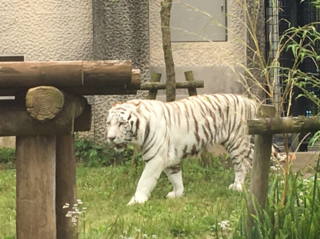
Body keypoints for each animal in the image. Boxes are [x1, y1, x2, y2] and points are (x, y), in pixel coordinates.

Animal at [106, 94, 264, 204]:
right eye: (108, 123)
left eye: (121, 123)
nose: (110, 138)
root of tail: (250, 100)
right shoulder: (171, 157)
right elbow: (175, 178)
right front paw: (177, 194)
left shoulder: (156, 159)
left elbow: (144, 181)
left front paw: (136, 201)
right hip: (244, 144)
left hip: (236, 142)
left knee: (242, 165)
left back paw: (237, 186)